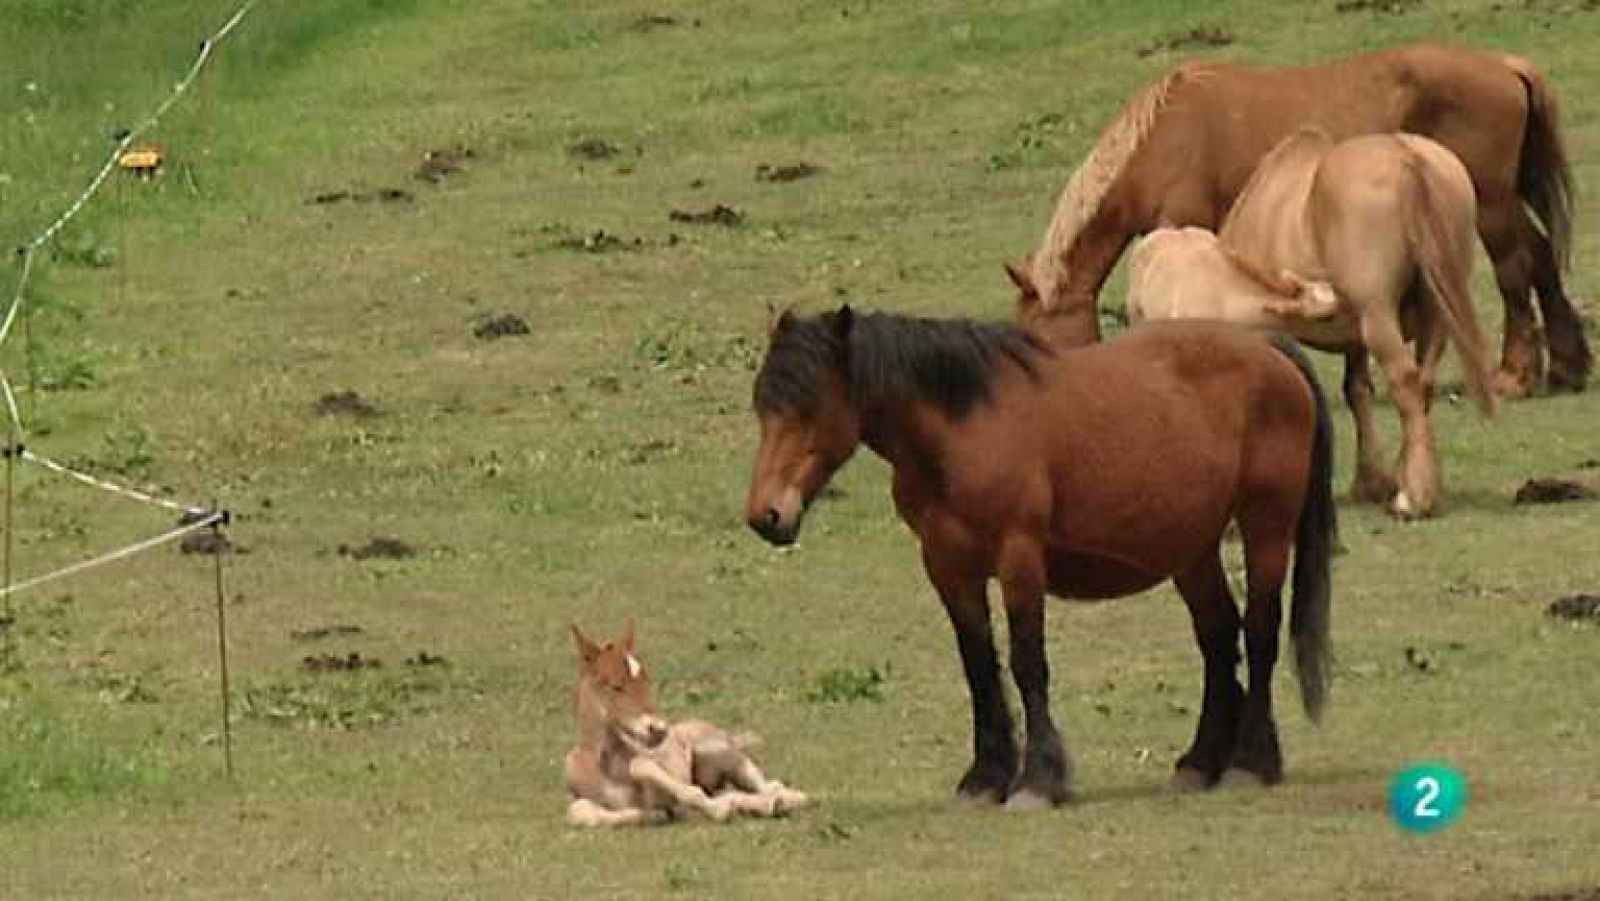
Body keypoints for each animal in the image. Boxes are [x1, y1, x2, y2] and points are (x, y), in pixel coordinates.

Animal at [566, 624, 812, 825]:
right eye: (616, 686)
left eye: (646, 680)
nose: (659, 729)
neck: (607, 768)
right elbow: (580, 811)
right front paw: (653, 815)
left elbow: (646, 768)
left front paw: (720, 808)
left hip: (717, 750)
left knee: (770, 785)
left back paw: (786, 799)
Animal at [745, 307, 1337, 806]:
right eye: (763, 407)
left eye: (808, 406)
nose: (766, 516)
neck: (965, 427)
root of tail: (1268, 348)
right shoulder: (949, 566)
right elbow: (979, 666)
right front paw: (985, 778)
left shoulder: (1019, 557)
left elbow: (1027, 662)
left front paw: (1037, 780)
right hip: (1192, 550)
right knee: (1218, 637)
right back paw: (1200, 762)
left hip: (1265, 528)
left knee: (1259, 633)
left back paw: (1249, 762)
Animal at [1011, 40, 1587, 396]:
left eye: (1035, 333)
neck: (1164, 136)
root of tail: (1505, 65)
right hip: (1501, 204)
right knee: (1539, 257)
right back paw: (1566, 367)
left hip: (1490, 206)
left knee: (1515, 272)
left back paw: (1515, 376)